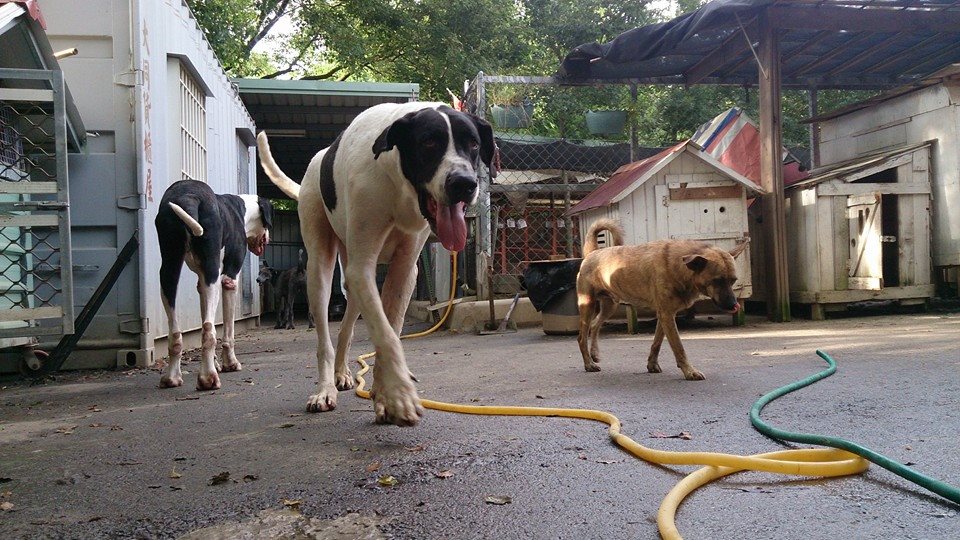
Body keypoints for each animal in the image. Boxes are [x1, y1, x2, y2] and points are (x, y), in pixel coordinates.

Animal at [155, 179, 272, 390]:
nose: (268, 237)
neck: (242, 211)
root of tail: (188, 196)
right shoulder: (229, 280)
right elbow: (228, 332)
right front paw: (230, 363)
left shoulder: (202, 282)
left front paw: (217, 363)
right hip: (212, 271)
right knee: (209, 331)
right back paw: (208, 378)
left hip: (170, 269)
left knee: (179, 332)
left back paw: (172, 377)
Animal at [256, 100, 496, 422]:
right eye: (428, 142)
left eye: (473, 143)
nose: (464, 184)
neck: (400, 187)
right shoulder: (363, 267)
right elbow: (387, 335)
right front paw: (400, 395)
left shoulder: (404, 270)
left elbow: (390, 329)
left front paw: (385, 394)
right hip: (320, 269)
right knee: (324, 336)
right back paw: (325, 389)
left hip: (352, 282)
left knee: (346, 326)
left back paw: (343, 373)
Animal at [572, 218, 748, 380]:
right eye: (717, 281)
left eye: (733, 281)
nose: (734, 305)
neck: (679, 266)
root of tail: (593, 252)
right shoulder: (667, 315)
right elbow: (678, 347)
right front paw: (689, 371)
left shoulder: (665, 315)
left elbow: (656, 343)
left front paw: (652, 365)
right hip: (588, 305)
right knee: (581, 337)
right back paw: (589, 364)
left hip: (610, 305)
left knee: (595, 325)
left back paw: (594, 354)